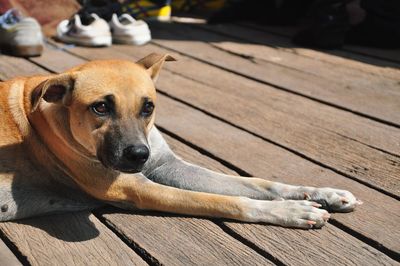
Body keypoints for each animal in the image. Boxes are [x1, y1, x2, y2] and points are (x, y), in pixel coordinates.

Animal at [0, 54, 362, 229]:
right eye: (100, 107)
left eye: (148, 107)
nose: (138, 155)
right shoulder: (135, 188)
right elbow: (229, 201)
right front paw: (291, 210)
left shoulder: (168, 166)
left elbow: (258, 183)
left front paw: (321, 192)